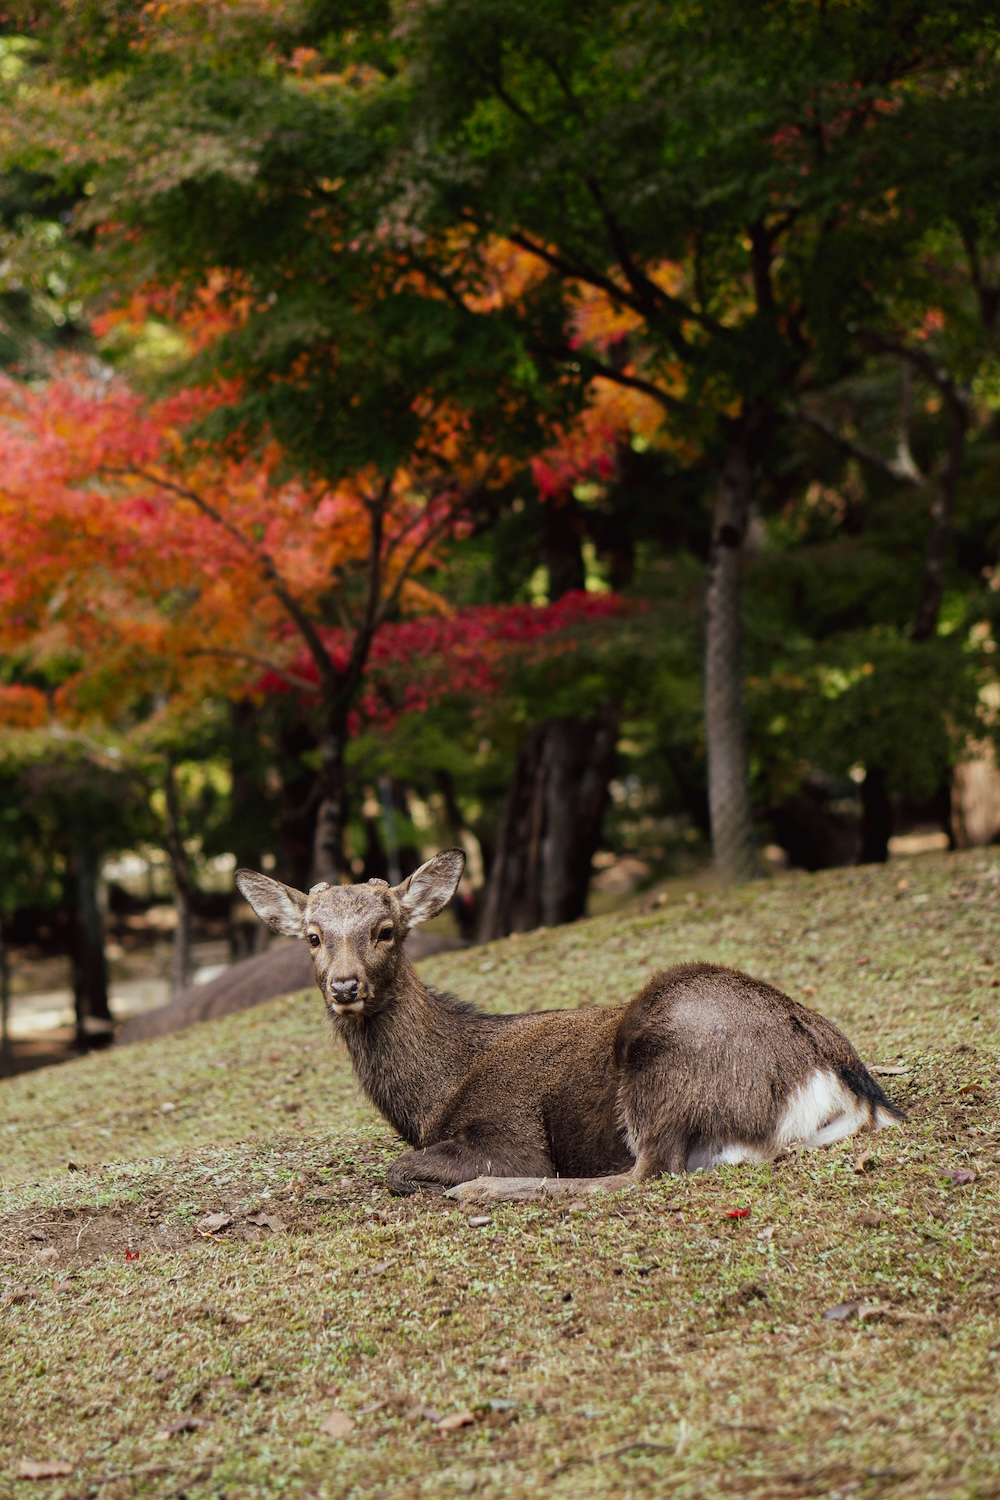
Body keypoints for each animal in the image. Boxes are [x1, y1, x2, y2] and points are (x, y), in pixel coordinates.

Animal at [236, 852, 905, 1200]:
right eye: (312, 937)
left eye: (385, 930)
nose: (345, 986)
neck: (432, 1095)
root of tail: (839, 1080)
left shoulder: (511, 1134)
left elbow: (401, 1169)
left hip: (667, 1050)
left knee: (640, 1174)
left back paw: (479, 1193)